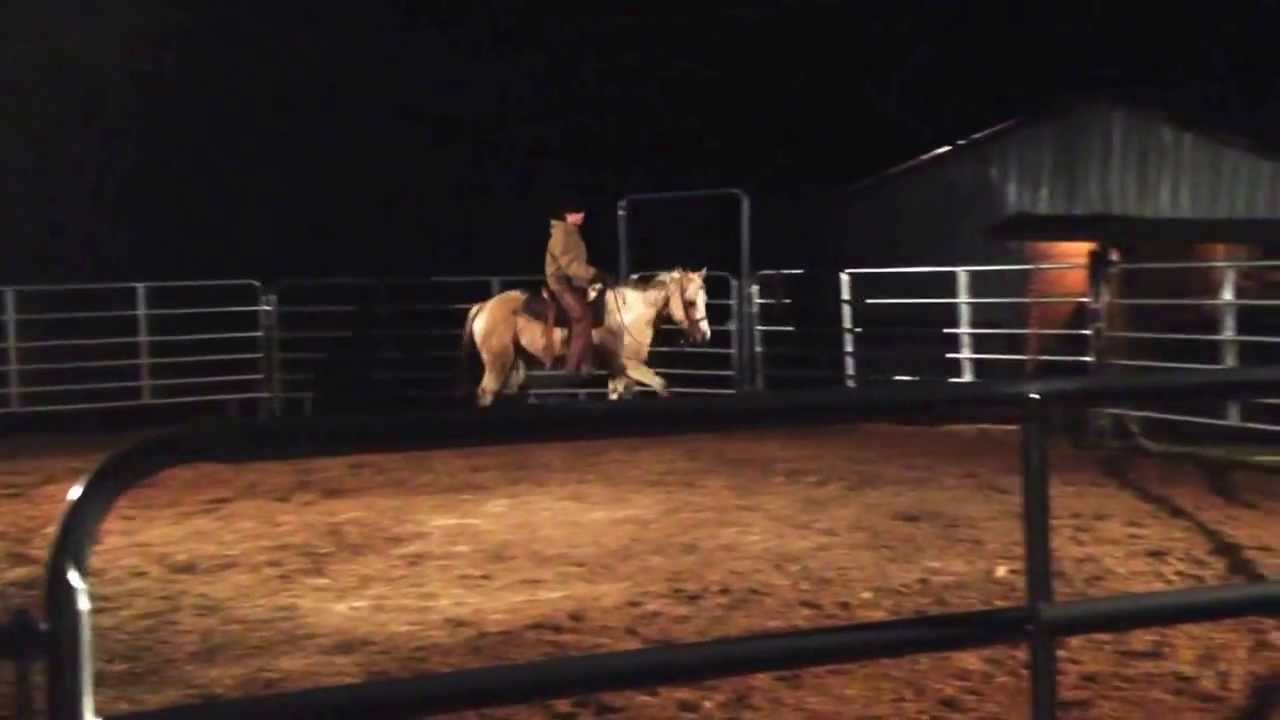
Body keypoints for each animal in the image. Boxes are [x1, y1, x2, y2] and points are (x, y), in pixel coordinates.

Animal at [459, 268, 712, 407]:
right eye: (690, 302)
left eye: (705, 299)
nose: (705, 334)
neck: (631, 312)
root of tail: (484, 306)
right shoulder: (630, 365)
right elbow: (661, 384)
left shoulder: (618, 371)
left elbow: (619, 393)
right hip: (497, 363)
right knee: (486, 393)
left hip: (514, 364)